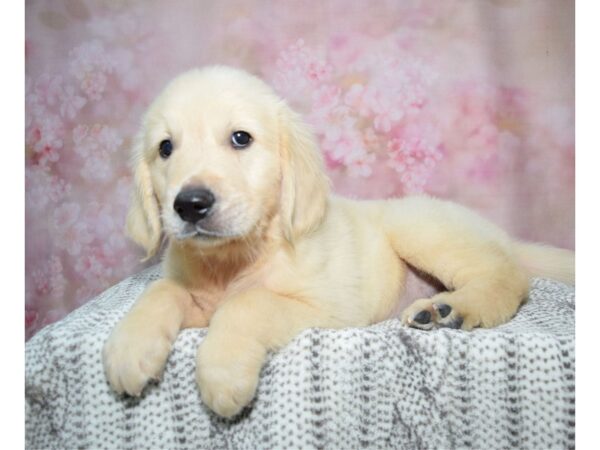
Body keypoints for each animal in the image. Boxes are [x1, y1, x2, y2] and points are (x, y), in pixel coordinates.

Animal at [102, 65, 572, 416]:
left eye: (240, 138)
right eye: (165, 149)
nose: (190, 205)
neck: (233, 257)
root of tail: (498, 233)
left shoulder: (330, 307)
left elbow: (248, 302)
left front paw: (222, 370)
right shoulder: (195, 294)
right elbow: (162, 291)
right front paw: (129, 348)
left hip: (420, 227)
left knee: (509, 278)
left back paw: (451, 310)